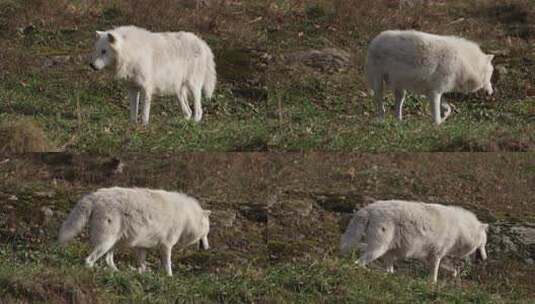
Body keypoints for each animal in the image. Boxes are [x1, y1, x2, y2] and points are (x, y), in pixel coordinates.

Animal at [57, 186, 210, 276]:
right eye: (207, 232)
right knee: (89, 260)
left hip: (114, 243)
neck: (188, 217)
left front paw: (141, 274)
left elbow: (142, 266)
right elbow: (168, 265)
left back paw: (117, 272)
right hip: (106, 243)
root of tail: (95, 196)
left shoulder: (141, 247)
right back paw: (96, 270)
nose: (208, 248)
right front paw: (169, 278)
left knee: (108, 259)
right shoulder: (166, 246)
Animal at [90, 25, 218, 125]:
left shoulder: (146, 88)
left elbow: (144, 113)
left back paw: (194, 123)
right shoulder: (133, 88)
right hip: (178, 92)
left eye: (104, 51)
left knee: (198, 110)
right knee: (188, 112)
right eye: (96, 50)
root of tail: (202, 43)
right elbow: (133, 111)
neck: (131, 52)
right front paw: (132, 126)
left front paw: (144, 127)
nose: (91, 65)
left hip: (193, 87)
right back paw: (183, 123)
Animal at [342, 200, 488, 282]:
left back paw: (388, 276)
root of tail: (367, 209)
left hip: (386, 251)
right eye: (484, 244)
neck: (461, 229)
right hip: (378, 249)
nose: (485, 259)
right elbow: (435, 272)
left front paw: (454, 274)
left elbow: (450, 268)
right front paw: (433, 284)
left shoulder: (429, 256)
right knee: (358, 262)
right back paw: (369, 272)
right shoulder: (436, 255)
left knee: (387, 268)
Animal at [366, 30, 496, 125]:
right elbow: (437, 115)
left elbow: (448, 109)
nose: (491, 93)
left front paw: (442, 120)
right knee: (381, 105)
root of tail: (375, 39)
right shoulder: (435, 93)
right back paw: (382, 120)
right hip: (378, 86)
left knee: (397, 107)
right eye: (490, 76)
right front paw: (437, 125)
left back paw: (399, 122)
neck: (463, 63)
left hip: (401, 90)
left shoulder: (436, 92)